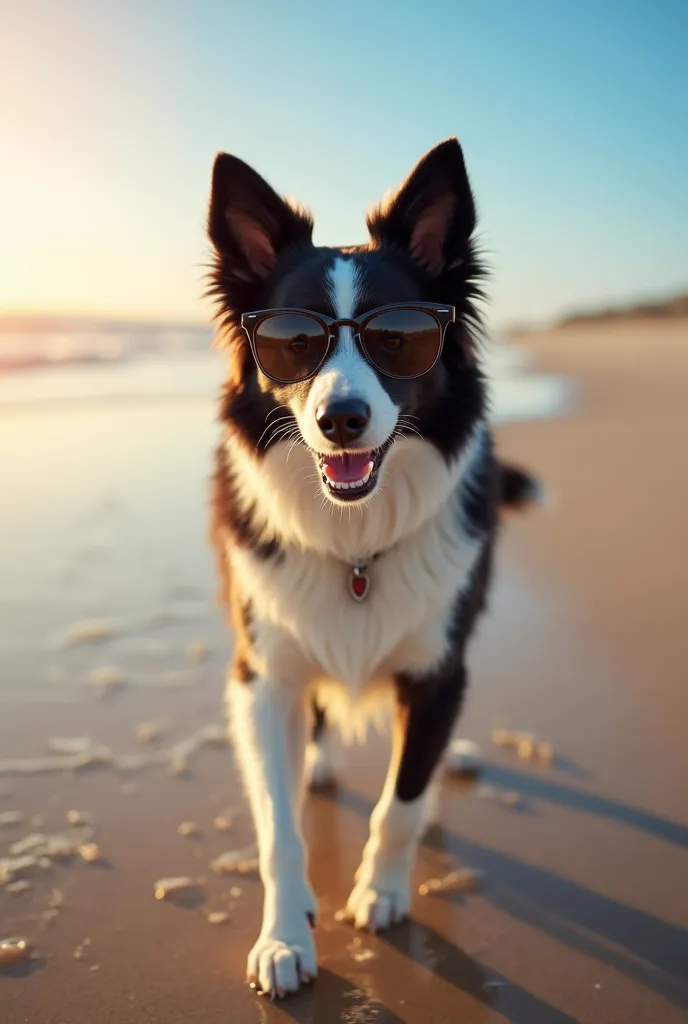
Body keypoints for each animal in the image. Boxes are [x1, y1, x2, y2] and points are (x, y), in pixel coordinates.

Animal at [206, 140, 540, 995]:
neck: (355, 537)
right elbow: (278, 827)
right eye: (294, 340)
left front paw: (382, 893)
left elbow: (402, 802)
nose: (341, 419)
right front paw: (285, 937)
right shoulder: (261, 673)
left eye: (399, 337)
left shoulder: (437, 668)